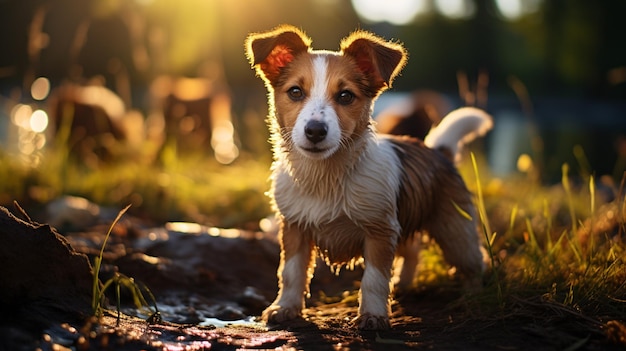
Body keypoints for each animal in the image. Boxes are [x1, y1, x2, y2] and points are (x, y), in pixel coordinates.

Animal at [245, 24, 492, 330]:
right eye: (295, 92)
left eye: (345, 96)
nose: (315, 131)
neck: (327, 177)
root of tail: (437, 151)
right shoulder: (294, 228)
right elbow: (291, 273)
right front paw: (285, 308)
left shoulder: (380, 232)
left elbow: (374, 279)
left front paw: (373, 315)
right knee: (412, 251)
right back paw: (404, 283)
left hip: (455, 230)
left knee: (474, 261)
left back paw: (473, 295)